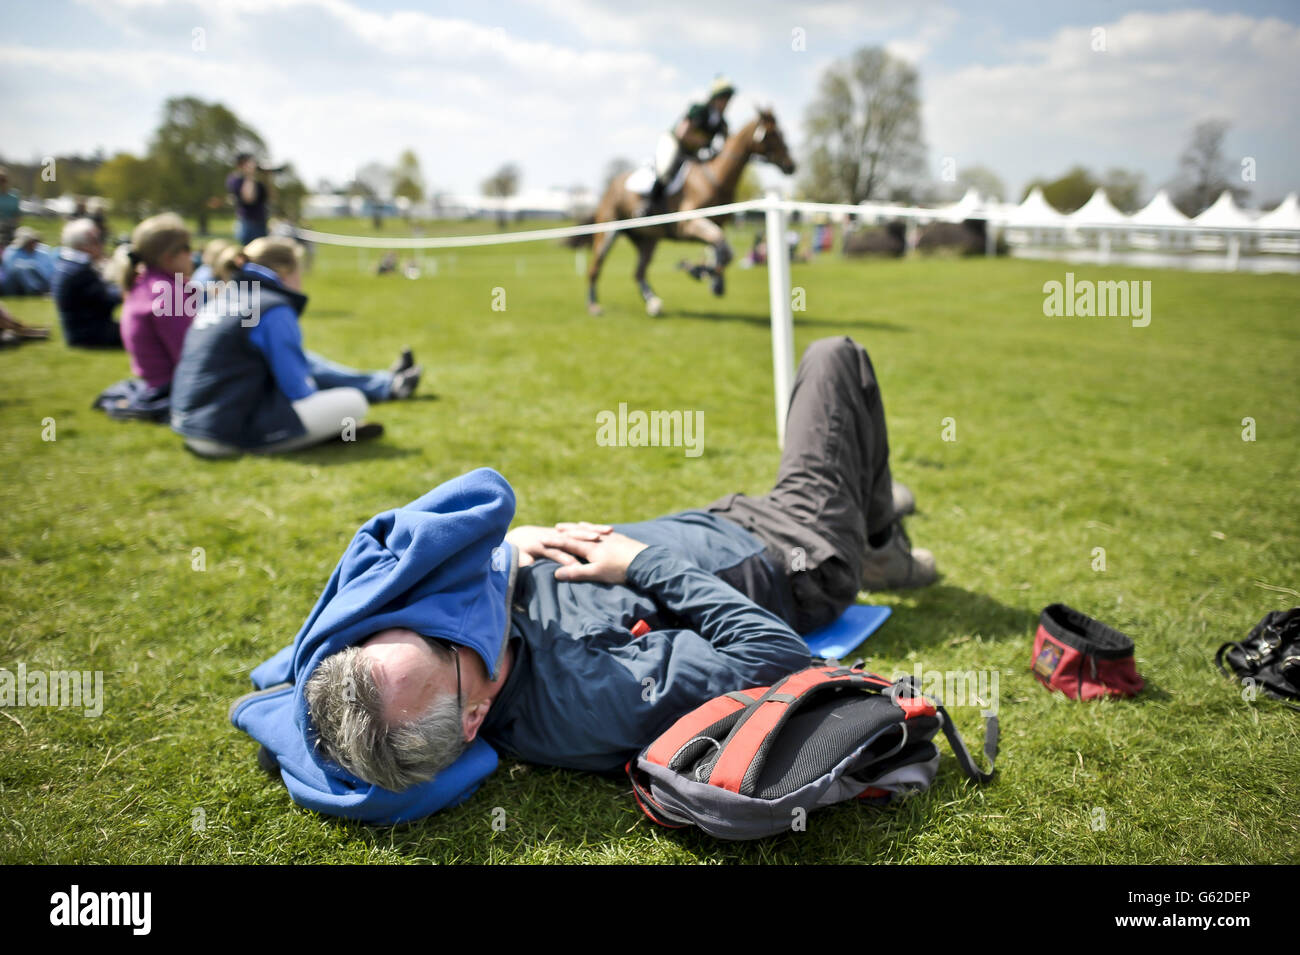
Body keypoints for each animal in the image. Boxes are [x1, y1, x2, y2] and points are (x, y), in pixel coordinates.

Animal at [587, 107, 790, 317]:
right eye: (773, 134)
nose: (791, 164)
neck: (715, 178)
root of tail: (611, 186)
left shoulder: (713, 226)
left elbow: (724, 251)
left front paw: (713, 280)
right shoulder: (690, 225)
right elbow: (720, 248)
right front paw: (701, 273)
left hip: (648, 239)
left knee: (639, 272)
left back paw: (653, 302)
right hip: (608, 232)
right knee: (595, 268)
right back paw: (594, 306)